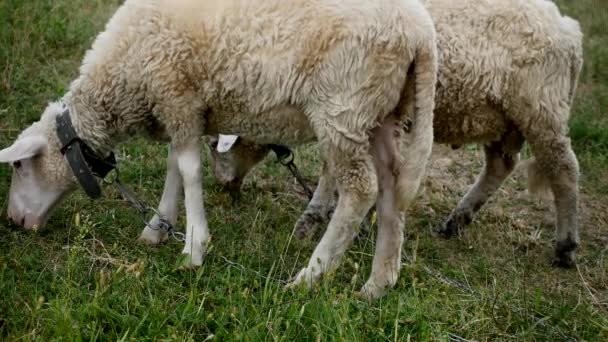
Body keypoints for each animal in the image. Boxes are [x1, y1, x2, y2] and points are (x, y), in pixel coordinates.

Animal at [0, 0, 436, 298]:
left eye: (19, 166)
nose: (14, 221)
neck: (121, 84)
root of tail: (421, 33)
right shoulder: (183, 108)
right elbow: (174, 167)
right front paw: (158, 228)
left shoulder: (175, 91)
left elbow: (189, 171)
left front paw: (194, 248)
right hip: (379, 113)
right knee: (392, 187)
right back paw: (377, 284)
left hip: (343, 106)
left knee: (361, 190)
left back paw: (309, 276)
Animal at [205, 0, 584, 268]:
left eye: (213, 144)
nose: (224, 186)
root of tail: (568, 28)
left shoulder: (342, 106)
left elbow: (333, 168)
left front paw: (314, 217)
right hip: (502, 118)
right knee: (500, 165)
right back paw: (457, 220)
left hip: (541, 110)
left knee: (564, 169)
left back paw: (565, 246)